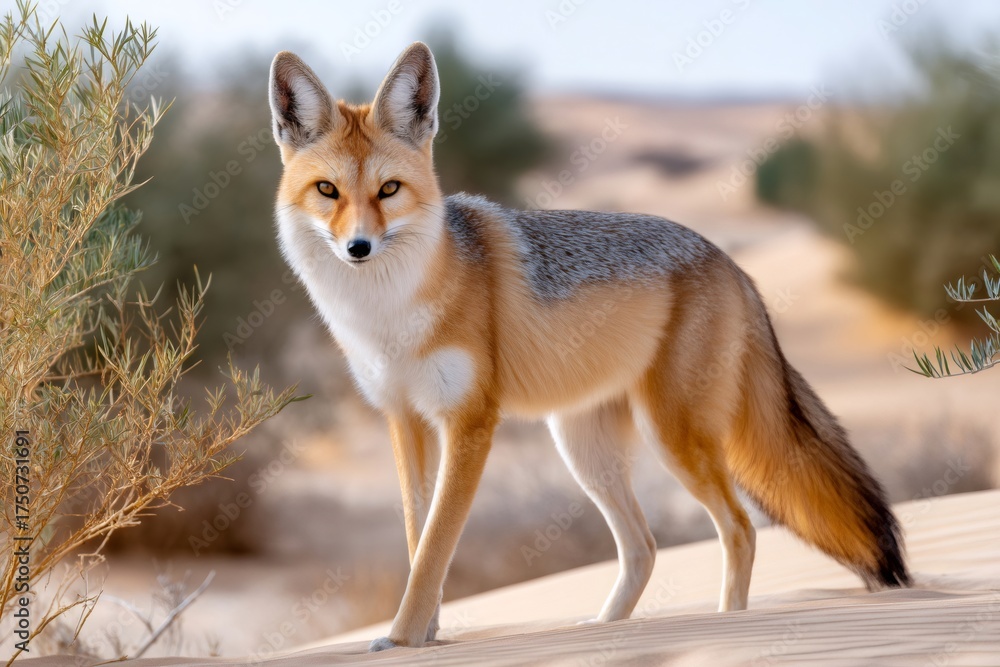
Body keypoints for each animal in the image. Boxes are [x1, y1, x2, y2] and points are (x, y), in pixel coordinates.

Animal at [268, 42, 910, 652]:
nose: (358, 247)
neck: (388, 315)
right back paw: (604, 630)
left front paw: (402, 639)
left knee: (739, 528)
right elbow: (417, 538)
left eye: (388, 190)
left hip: (671, 437)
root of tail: (730, 262)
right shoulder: (405, 420)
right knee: (645, 546)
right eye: (327, 191)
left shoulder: (469, 422)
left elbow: (432, 551)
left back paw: (728, 624)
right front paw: (426, 635)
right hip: (585, 451)